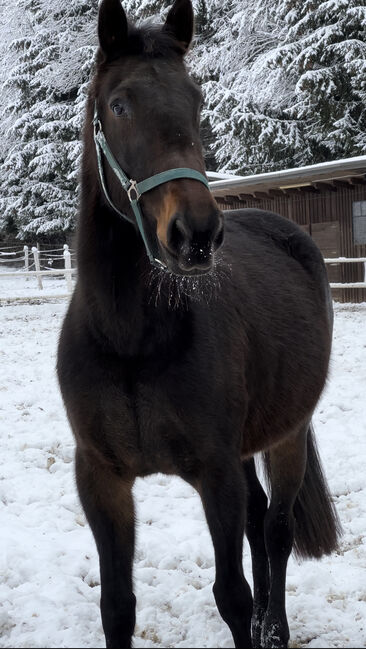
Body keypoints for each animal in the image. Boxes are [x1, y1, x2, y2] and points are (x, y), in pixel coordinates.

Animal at [56, 1, 340, 648]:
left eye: (196, 99)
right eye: (120, 104)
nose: (197, 233)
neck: (130, 338)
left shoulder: (216, 473)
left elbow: (230, 594)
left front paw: (252, 622)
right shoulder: (101, 479)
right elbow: (117, 605)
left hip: (286, 436)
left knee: (276, 529)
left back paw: (273, 628)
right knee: (260, 519)